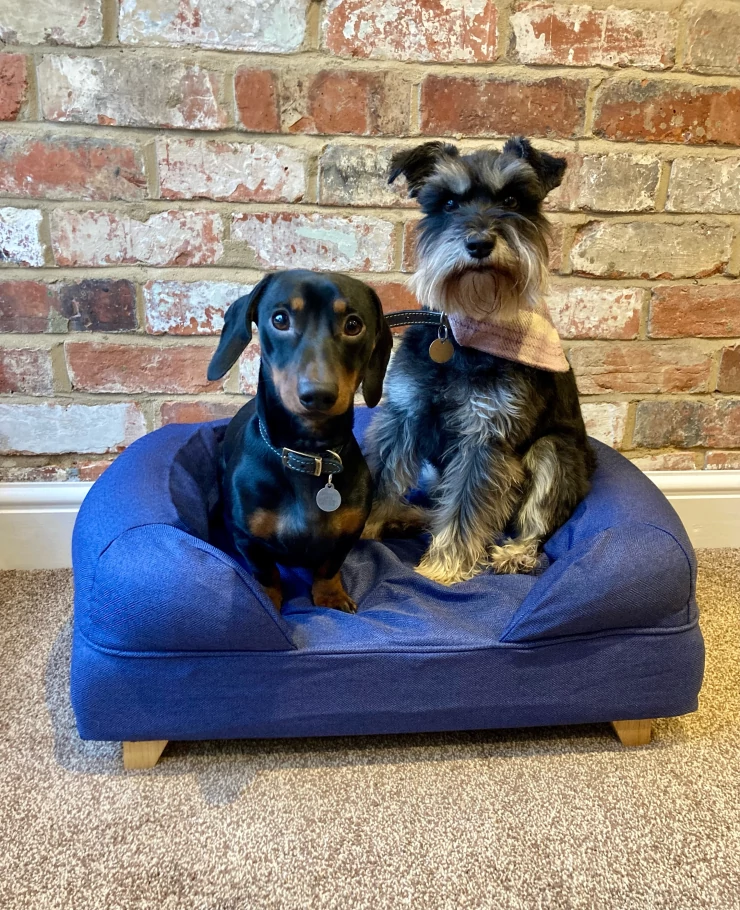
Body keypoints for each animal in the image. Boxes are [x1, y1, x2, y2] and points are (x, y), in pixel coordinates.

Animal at [208, 270, 392, 613]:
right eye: (280, 319)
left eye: (353, 325)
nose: (317, 394)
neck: (307, 456)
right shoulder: (247, 540)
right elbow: (265, 573)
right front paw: (267, 601)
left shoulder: (348, 535)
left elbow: (329, 566)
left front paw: (331, 596)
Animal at [363, 137, 596, 584]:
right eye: (449, 203)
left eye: (512, 199)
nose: (479, 244)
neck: (462, 333)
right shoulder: (403, 415)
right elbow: (379, 476)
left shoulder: (485, 436)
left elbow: (465, 506)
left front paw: (442, 567)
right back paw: (408, 516)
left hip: (554, 453)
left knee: (535, 525)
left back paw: (515, 554)